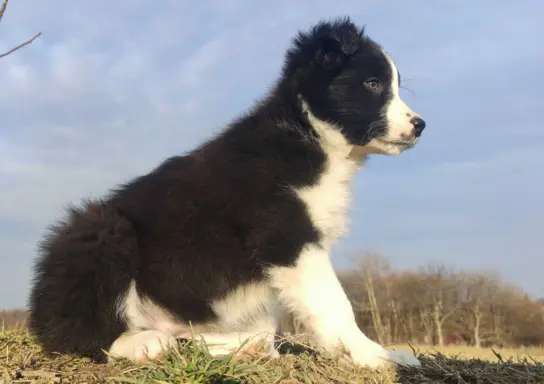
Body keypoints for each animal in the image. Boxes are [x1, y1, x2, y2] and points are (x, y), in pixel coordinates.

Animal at [28, 17, 424, 368]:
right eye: (372, 83)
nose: (421, 125)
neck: (309, 136)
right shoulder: (287, 237)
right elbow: (335, 302)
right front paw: (375, 357)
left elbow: (281, 318)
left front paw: (388, 355)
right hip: (101, 232)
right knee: (79, 335)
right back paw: (145, 344)